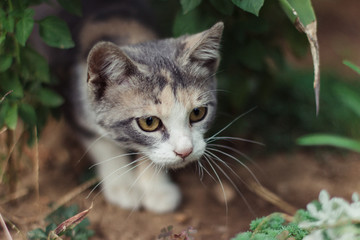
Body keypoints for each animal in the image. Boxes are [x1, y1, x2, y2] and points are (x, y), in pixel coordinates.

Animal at [64, 2, 222, 212]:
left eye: (198, 113)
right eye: (149, 122)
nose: (185, 151)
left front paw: (157, 189)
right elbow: (104, 145)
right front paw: (122, 187)